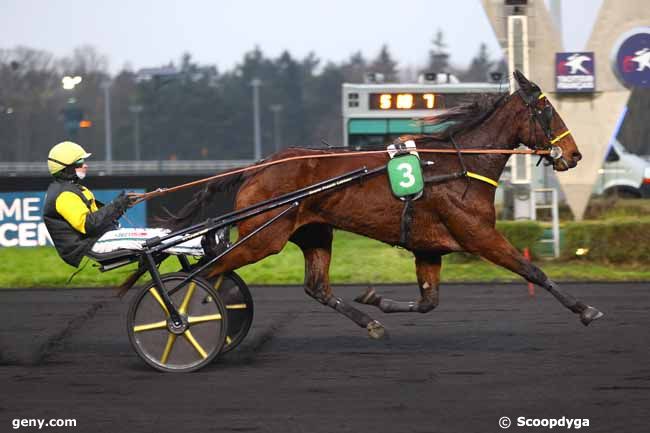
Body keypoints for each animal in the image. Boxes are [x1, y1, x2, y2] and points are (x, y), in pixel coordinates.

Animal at [165, 71, 600, 338]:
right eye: (546, 109)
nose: (574, 154)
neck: (461, 166)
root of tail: (259, 166)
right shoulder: (479, 235)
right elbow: (533, 271)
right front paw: (585, 309)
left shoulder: (429, 247)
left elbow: (428, 302)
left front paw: (376, 299)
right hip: (263, 237)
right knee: (207, 273)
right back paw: (181, 318)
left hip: (313, 232)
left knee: (315, 287)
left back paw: (368, 322)